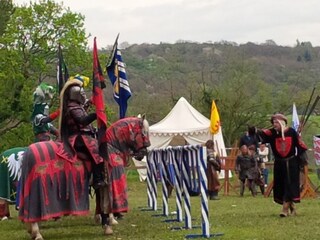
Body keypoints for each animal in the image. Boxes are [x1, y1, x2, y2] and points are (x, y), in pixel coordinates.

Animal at [18, 116, 151, 240]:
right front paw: (109, 223)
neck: (111, 147)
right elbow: (106, 204)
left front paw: (101, 221)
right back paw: (37, 233)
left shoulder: (99, 184)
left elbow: (100, 203)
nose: (143, 154)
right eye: (144, 133)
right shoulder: (108, 183)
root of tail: (29, 151)